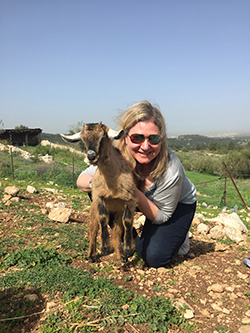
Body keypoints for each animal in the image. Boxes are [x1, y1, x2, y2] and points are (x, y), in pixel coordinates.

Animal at [61, 122, 138, 262]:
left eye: (103, 137)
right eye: (83, 139)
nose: (91, 156)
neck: (112, 186)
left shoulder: (130, 198)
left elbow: (128, 220)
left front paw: (128, 250)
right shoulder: (98, 197)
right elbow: (103, 218)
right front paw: (105, 247)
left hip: (117, 215)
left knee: (117, 232)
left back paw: (121, 256)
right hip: (93, 212)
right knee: (93, 231)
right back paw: (92, 256)